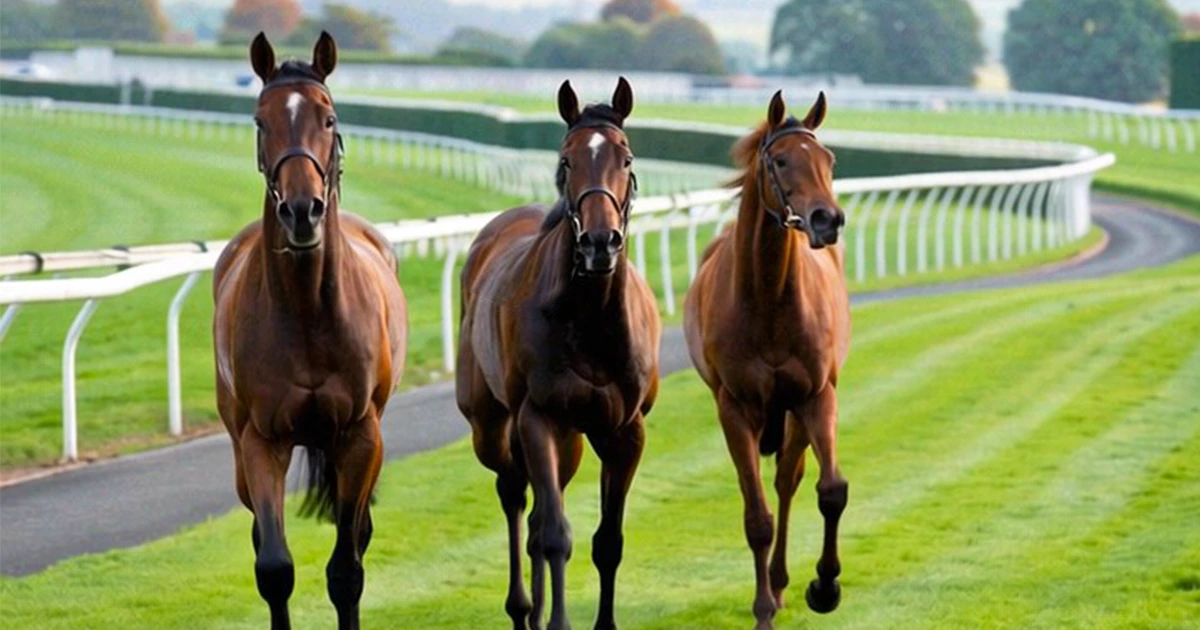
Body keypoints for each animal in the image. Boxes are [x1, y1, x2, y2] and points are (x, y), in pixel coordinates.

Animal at [212, 32, 407, 630]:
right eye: (261, 119)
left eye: (329, 117)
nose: (303, 211)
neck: (307, 316)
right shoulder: (261, 439)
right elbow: (274, 566)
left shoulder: (360, 435)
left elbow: (347, 568)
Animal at [455, 78, 660, 630]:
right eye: (567, 160)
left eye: (626, 159)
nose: (599, 242)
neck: (590, 319)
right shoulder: (538, 417)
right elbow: (552, 535)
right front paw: (555, 620)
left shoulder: (624, 430)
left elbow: (606, 541)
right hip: (491, 425)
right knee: (515, 495)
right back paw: (523, 607)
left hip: (571, 438)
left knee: (543, 503)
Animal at [683, 91, 851, 629]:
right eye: (780, 161)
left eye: (829, 160)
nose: (827, 220)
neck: (770, 300)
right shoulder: (734, 406)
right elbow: (756, 517)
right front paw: (762, 610)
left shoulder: (816, 394)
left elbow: (831, 489)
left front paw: (825, 586)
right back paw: (771, 590)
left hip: (792, 413)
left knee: (787, 480)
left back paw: (781, 581)